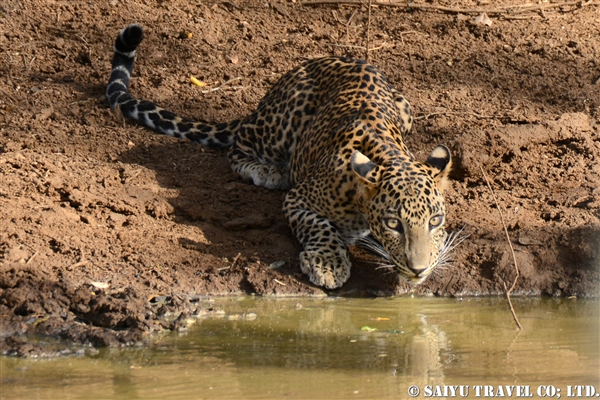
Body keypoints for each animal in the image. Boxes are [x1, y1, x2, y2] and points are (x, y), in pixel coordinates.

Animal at [108, 23, 454, 290]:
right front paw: (327, 264)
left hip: (405, 106)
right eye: (394, 223)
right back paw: (269, 171)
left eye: (435, 221)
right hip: (280, 125)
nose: (420, 269)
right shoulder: (299, 200)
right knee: (238, 146)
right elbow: (321, 227)